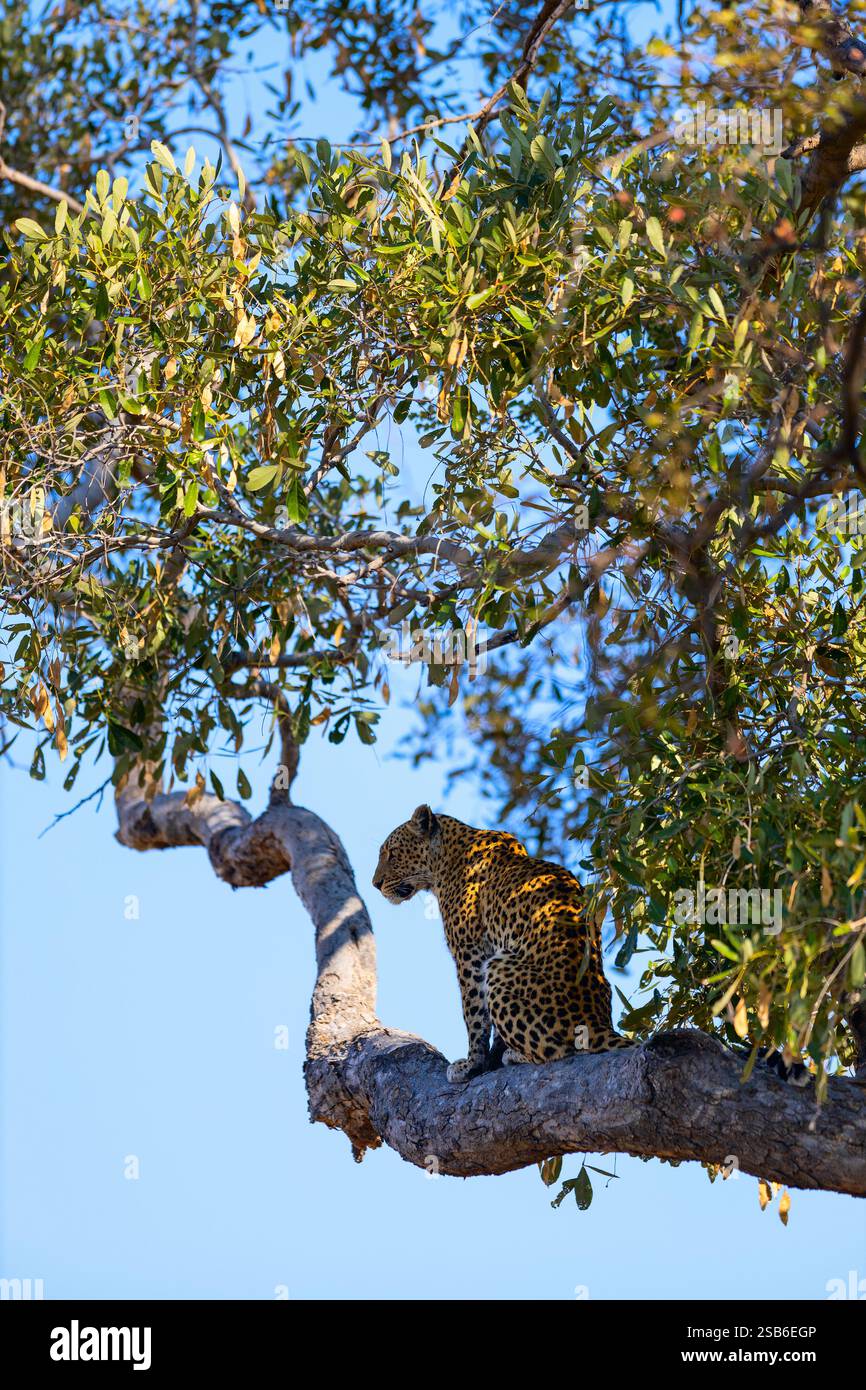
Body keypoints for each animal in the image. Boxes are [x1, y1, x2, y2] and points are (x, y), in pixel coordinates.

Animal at [372, 805, 631, 1083]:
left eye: (391, 853)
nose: (375, 884)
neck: (445, 858)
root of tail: (597, 1022)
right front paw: (491, 1056)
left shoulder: (470, 953)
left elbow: (474, 1014)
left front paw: (472, 1064)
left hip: (500, 967)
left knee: (557, 1050)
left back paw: (515, 1056)